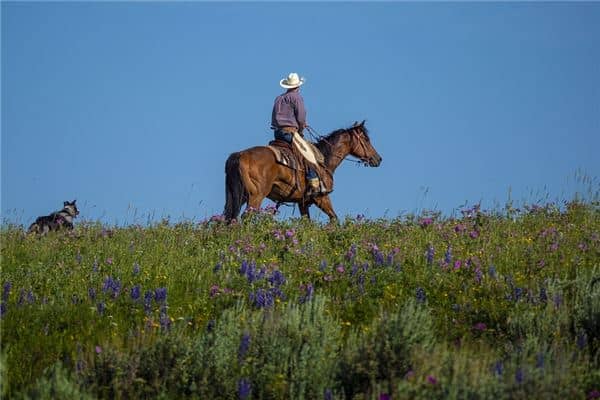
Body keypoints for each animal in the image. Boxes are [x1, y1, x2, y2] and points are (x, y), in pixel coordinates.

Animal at [223, 120, 382, 223]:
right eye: (366, 139)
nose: (378, 159)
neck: (324, 159)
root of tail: (239, 155)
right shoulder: (321, 197)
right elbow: (334, 218)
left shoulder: (303, 202)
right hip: (256, 196)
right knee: (245, 217)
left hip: (239, 196)